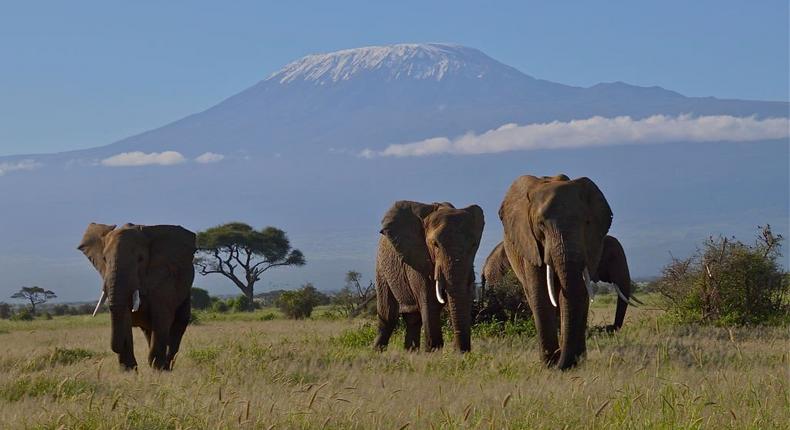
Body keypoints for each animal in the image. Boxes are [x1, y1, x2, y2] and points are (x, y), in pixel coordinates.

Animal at [77, 223, 196, 372]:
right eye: (104, 259)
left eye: (140, 259)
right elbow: (125, 317)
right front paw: (129, 371)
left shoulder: (165, 279)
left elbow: (162, 318)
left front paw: (157, 369)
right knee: (148, 330)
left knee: (178, 324)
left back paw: (167, 367)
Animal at [376, 200, 486, 352]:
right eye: (435, 244)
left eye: (474, 245)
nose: (458, 351)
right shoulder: (418, 260)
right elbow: (430, 304)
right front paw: (433, 352)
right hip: (382, 267)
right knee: (388, 316)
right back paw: (377, 351)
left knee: (413, 319)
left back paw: (411, 353)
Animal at [502, 175, 612, 370]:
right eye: (541, 225)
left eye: (587, 222)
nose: (562, 363)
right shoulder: (529, 243)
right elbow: (541, 295)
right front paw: (549, 363)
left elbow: (578, 292)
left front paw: (574, 361)